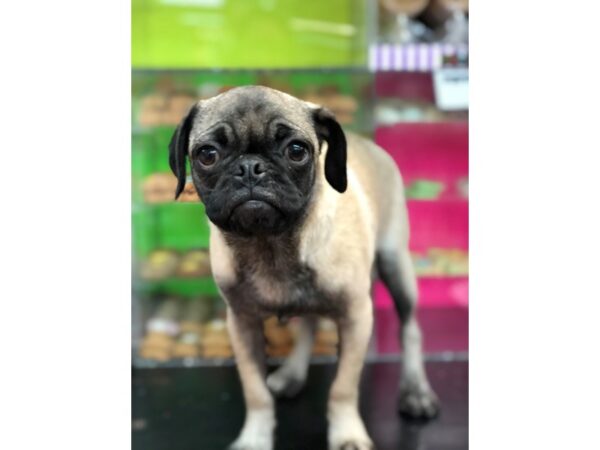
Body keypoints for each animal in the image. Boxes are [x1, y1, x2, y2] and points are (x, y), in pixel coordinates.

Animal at [169, 86, 440, 448]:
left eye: (296, 151)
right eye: (207, 155)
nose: (250, 167)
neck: (270, 243)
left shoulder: (356, 318)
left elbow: (342, 388)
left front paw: (347, 435)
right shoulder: (242, 324)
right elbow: (255, 392)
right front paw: (255, 438)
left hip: (396, 266)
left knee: (410, 330)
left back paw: (416, 392)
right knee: (309, 325)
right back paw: (292, 374)